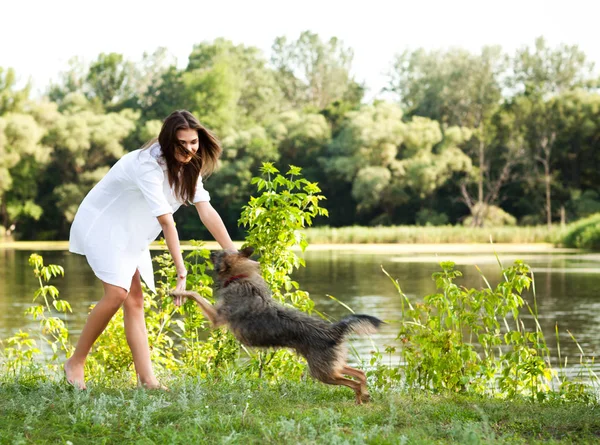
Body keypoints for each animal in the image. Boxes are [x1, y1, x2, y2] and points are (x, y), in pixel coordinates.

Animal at [171, 246, 382, 402]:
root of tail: (334, 330)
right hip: (331, 366)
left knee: (354, 382)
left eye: (219, 254)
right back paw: (364, 396)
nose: (211, 251)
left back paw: (360, 398)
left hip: (323, 372)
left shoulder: (216, 316)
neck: (240, 278)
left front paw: (177, 292)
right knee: (360, 373)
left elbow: (195, 294)